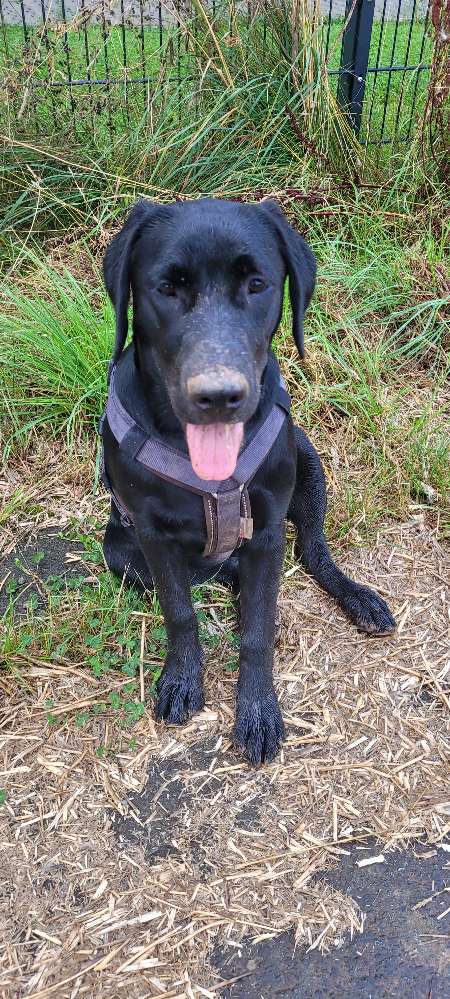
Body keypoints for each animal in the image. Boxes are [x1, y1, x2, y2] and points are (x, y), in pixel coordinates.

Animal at [101, 201, 394, 764]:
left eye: (257, 284)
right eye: (166, 288)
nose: (219, 396)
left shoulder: (266, 530)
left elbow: (259, 629)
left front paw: (258, 710)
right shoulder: (150, 533)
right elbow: (179, 612)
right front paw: (182, 679)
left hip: (307, 462)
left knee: (312, 552)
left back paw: (358, 598)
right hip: (119, 553)